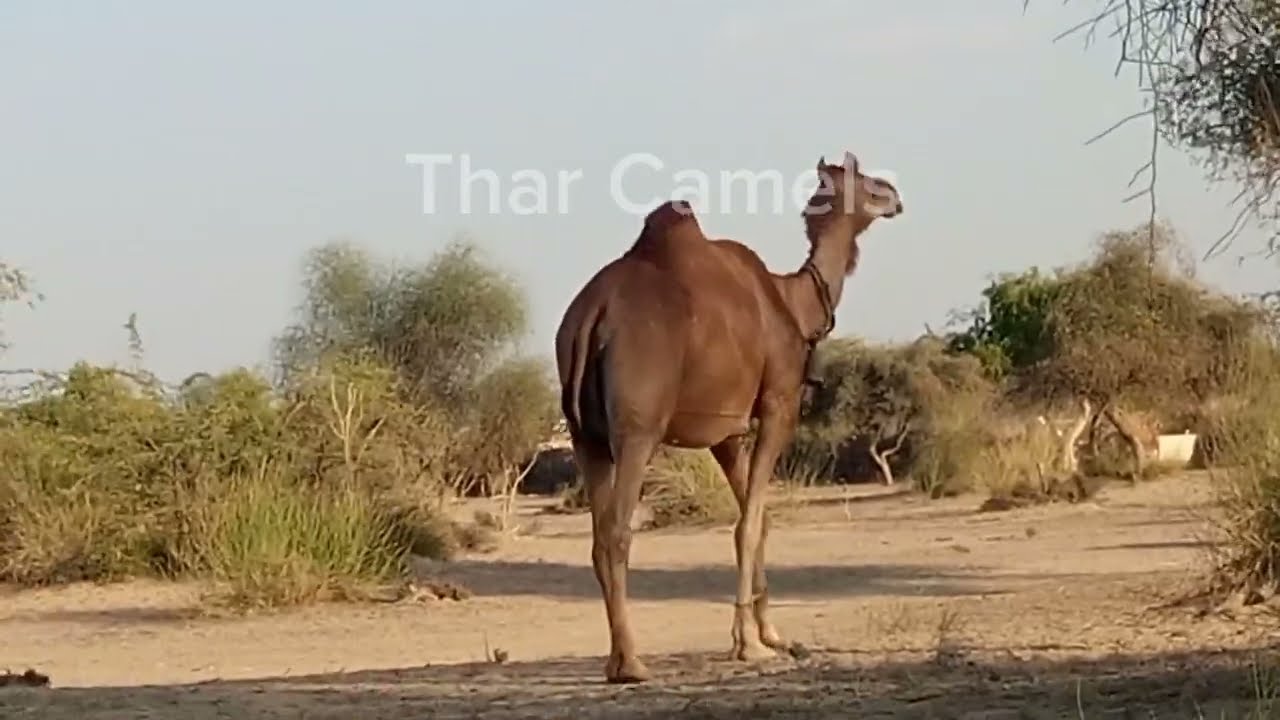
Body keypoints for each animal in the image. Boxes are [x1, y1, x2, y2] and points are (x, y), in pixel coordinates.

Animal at [554, 151, 903, 683]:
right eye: (864, 180)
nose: (895, 196)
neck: (794, 303)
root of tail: (591, 317)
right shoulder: (779, 403)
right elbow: (748, 523)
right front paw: (749, 645)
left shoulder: (726, 431)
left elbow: (758, 517)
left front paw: (773, 634)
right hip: (637, 430)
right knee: (616, 531)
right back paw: (632, 662)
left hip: (583, 436)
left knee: (596, 535)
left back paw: (615, 659)